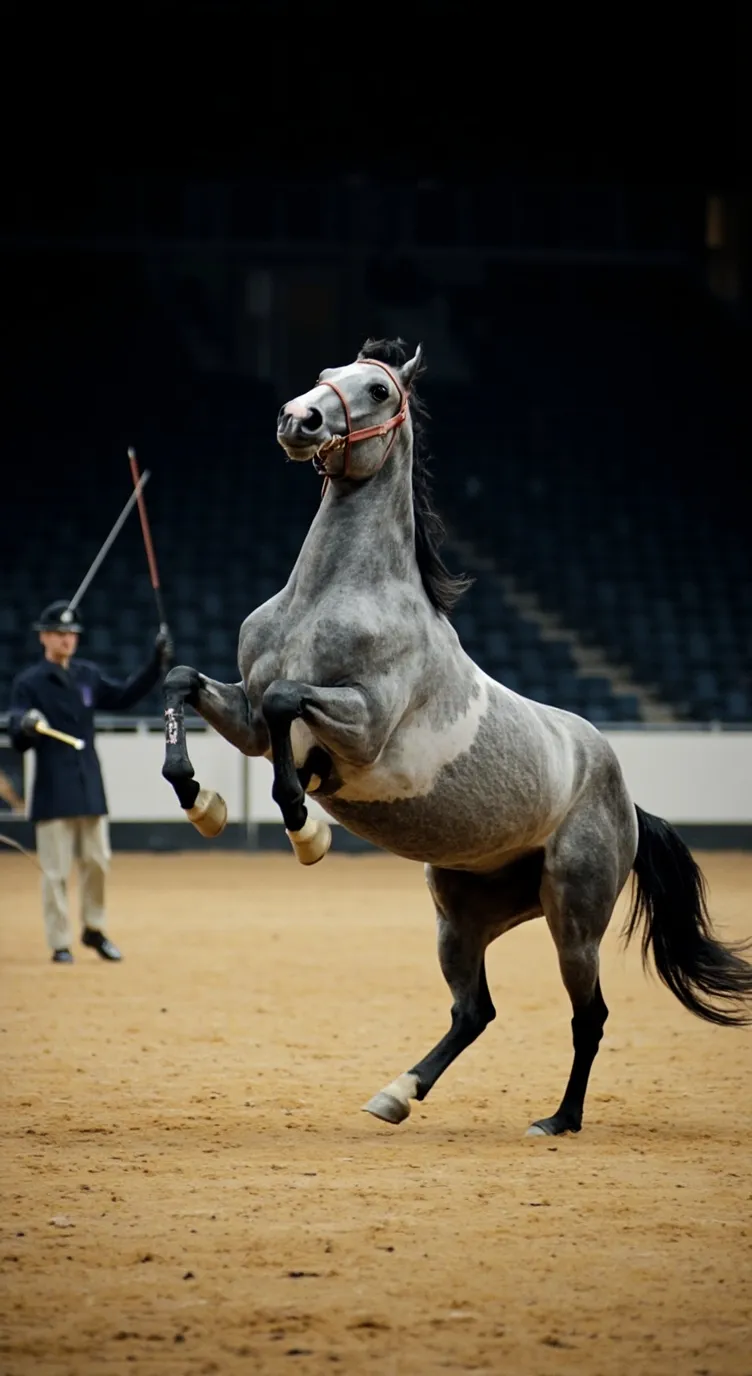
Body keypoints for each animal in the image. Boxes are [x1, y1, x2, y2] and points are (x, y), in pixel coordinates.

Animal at [161, 337, 752, 1136]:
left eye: (378, 390)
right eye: (327, 375)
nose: (298, 420)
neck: (328, 600)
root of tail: (623, 796)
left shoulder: (361, 729)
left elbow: (290, 711)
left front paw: (303, 824)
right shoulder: (249, 717)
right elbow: (185, 684)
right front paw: (203, 802)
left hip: (573, 918)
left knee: (589, 1016)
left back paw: (558, 1121)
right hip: (461, 913)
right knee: (475, 1011)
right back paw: (394, 1095)